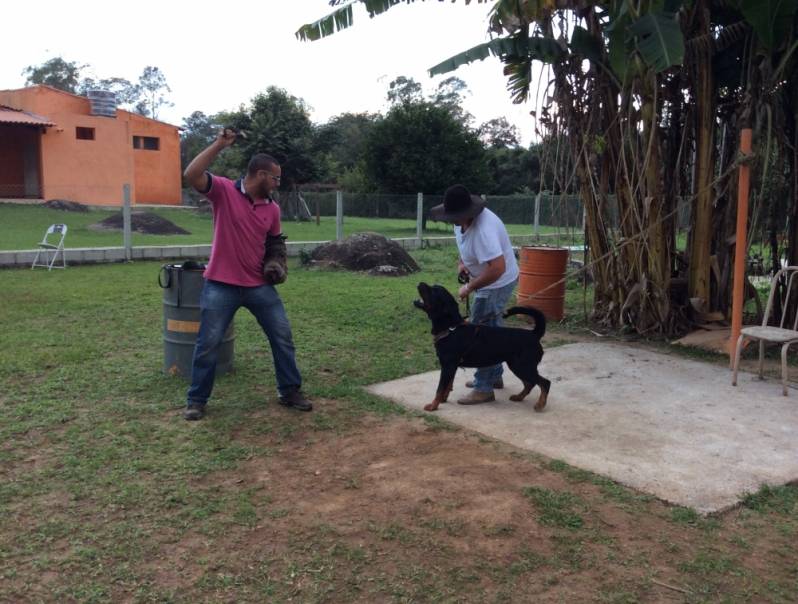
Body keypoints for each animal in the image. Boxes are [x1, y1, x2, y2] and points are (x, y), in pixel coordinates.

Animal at [416, 280, 552, 412]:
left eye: (434, 291)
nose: (421, 282)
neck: (451, 328)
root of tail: (534, 334)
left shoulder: (447, 366)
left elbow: (440, 388)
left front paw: (433, 406)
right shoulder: (451, 367)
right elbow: (448, 385)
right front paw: (443, 399)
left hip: (523, 366)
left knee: (544, 383)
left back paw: (540, 404)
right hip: (517, 366)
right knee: (530, 383)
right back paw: (519, 397)